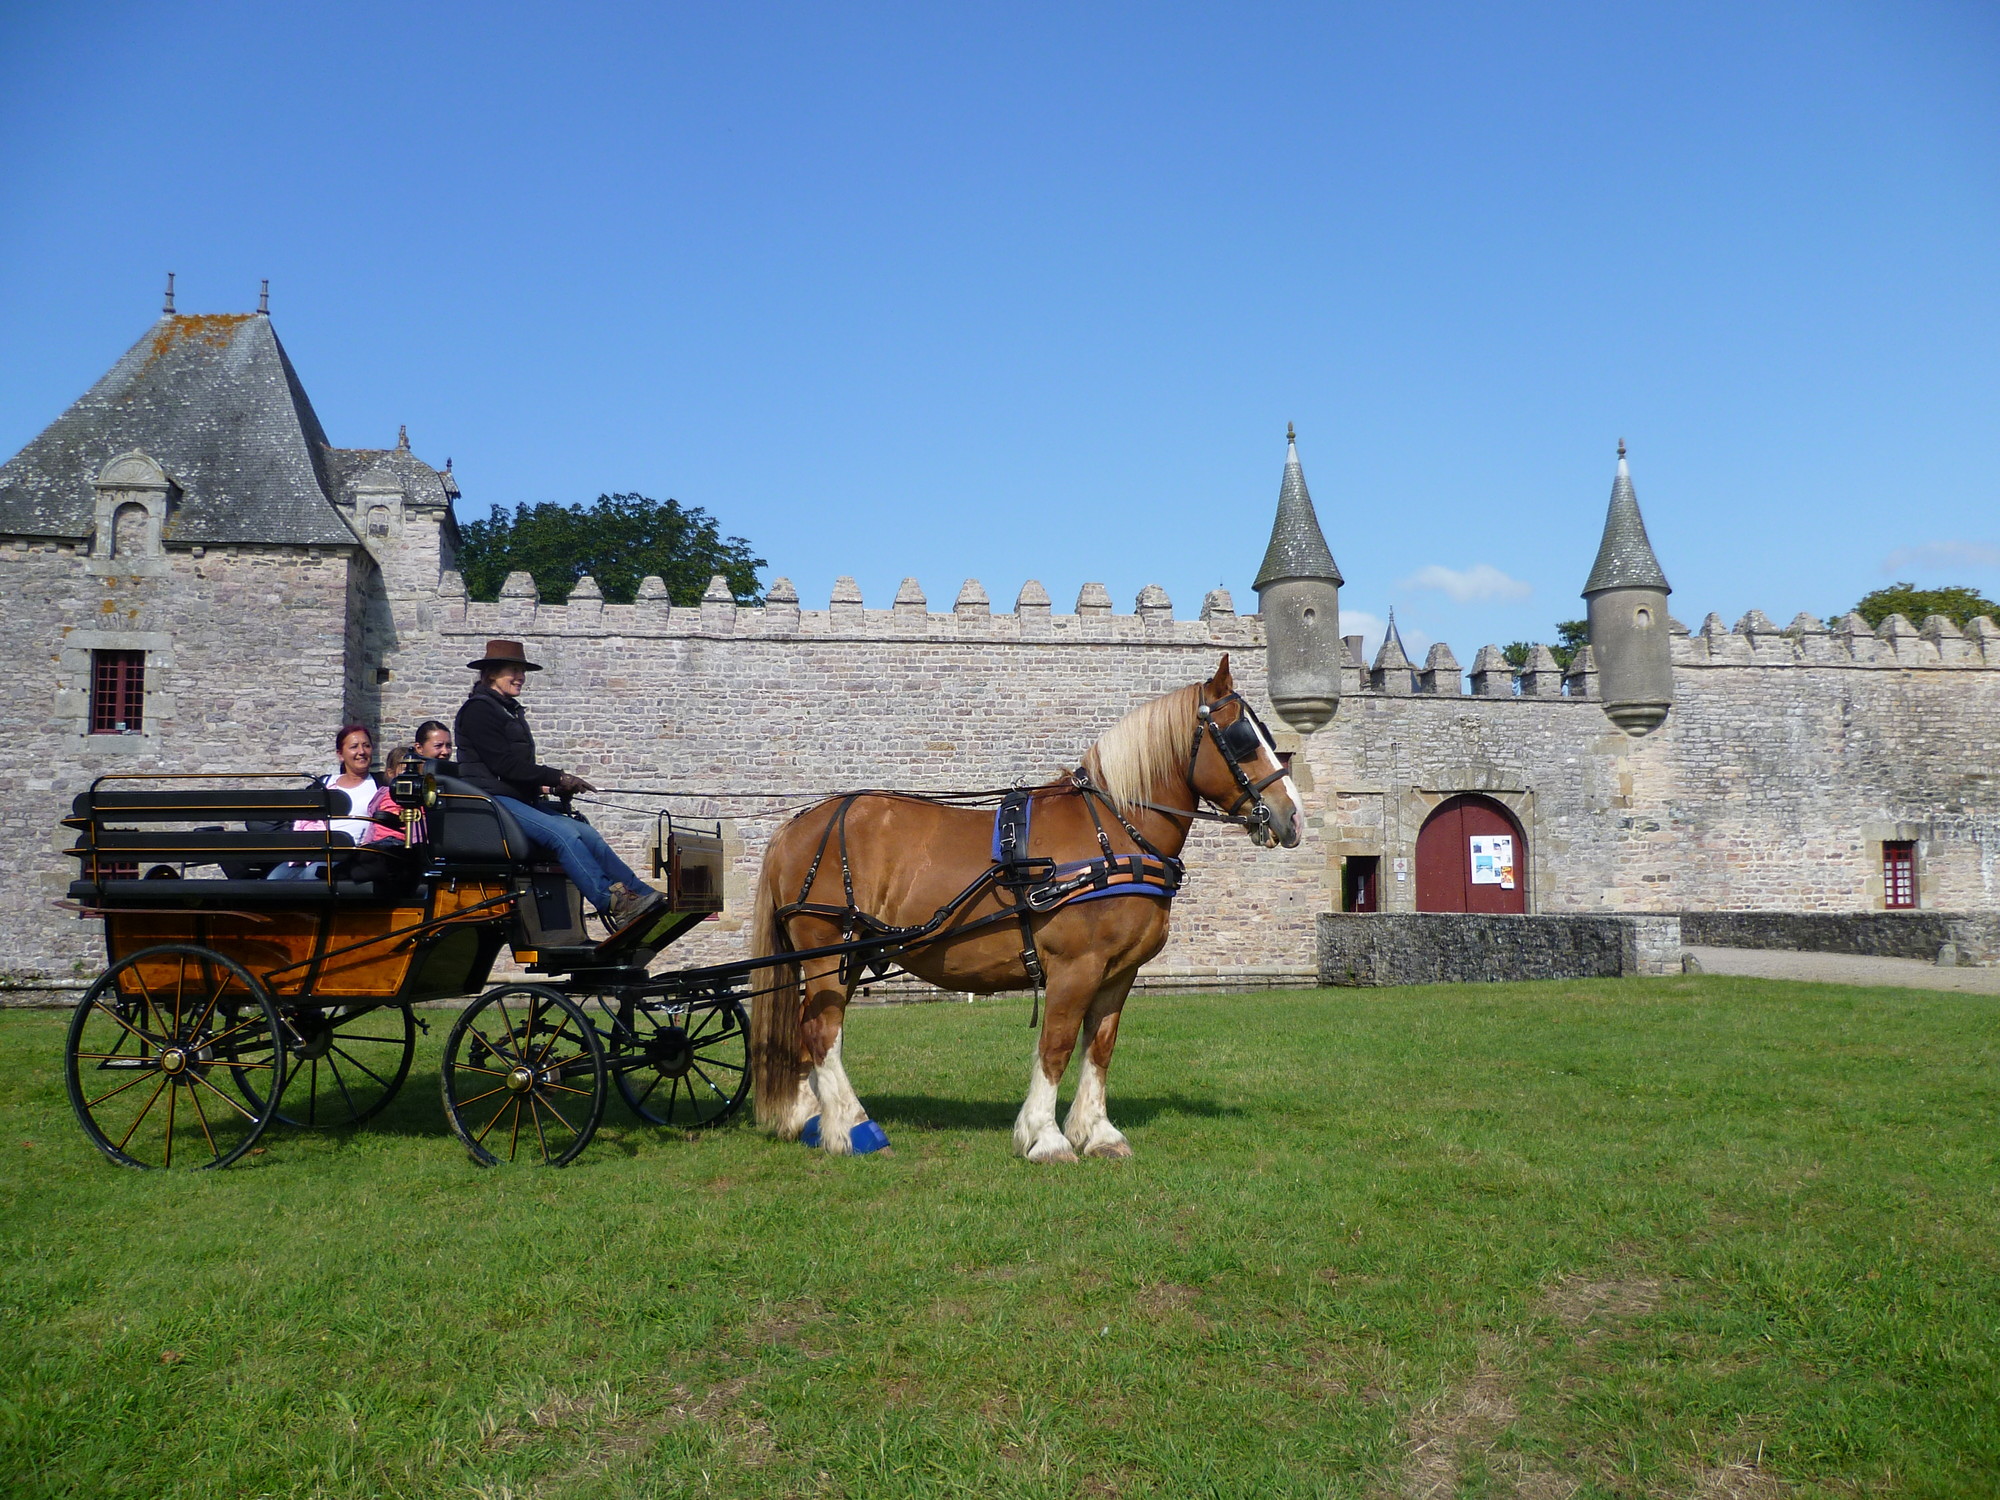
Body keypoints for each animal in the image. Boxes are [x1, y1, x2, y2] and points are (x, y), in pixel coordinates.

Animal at [748, 656, 1296, 1160]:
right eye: (1242, 738)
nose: (1292, 817)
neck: (1112, 837)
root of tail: (797, 824)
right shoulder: (1076, 967)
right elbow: (1056, 1045)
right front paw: (1045, 1137)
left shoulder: (1119, 973)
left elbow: (1099, 1047)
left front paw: (1098, 1133)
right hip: (828, 952)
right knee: (822, 1029)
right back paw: (852, 1128)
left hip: (847, 956)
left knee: (811, 1030)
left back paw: (809, 1119)